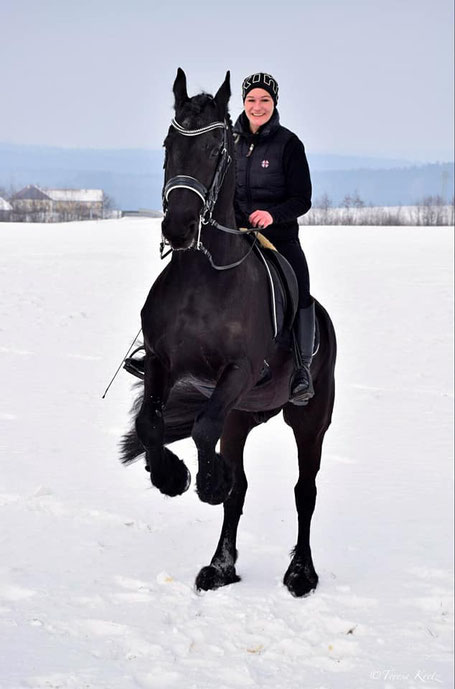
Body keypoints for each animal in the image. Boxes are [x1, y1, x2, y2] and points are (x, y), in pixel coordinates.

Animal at [120, 70, 334, 596]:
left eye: (218, 147)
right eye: (169, 142)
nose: (177, 227)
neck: (205, 276)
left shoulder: (239, 370)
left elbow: (201, 428)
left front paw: (205, 482)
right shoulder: (162, 363)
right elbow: (150, 423)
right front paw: (173, 477)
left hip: (309, 419)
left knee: (305, 491)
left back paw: (301, 573)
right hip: (242, 415)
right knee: (241, 486)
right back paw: (220, 566)